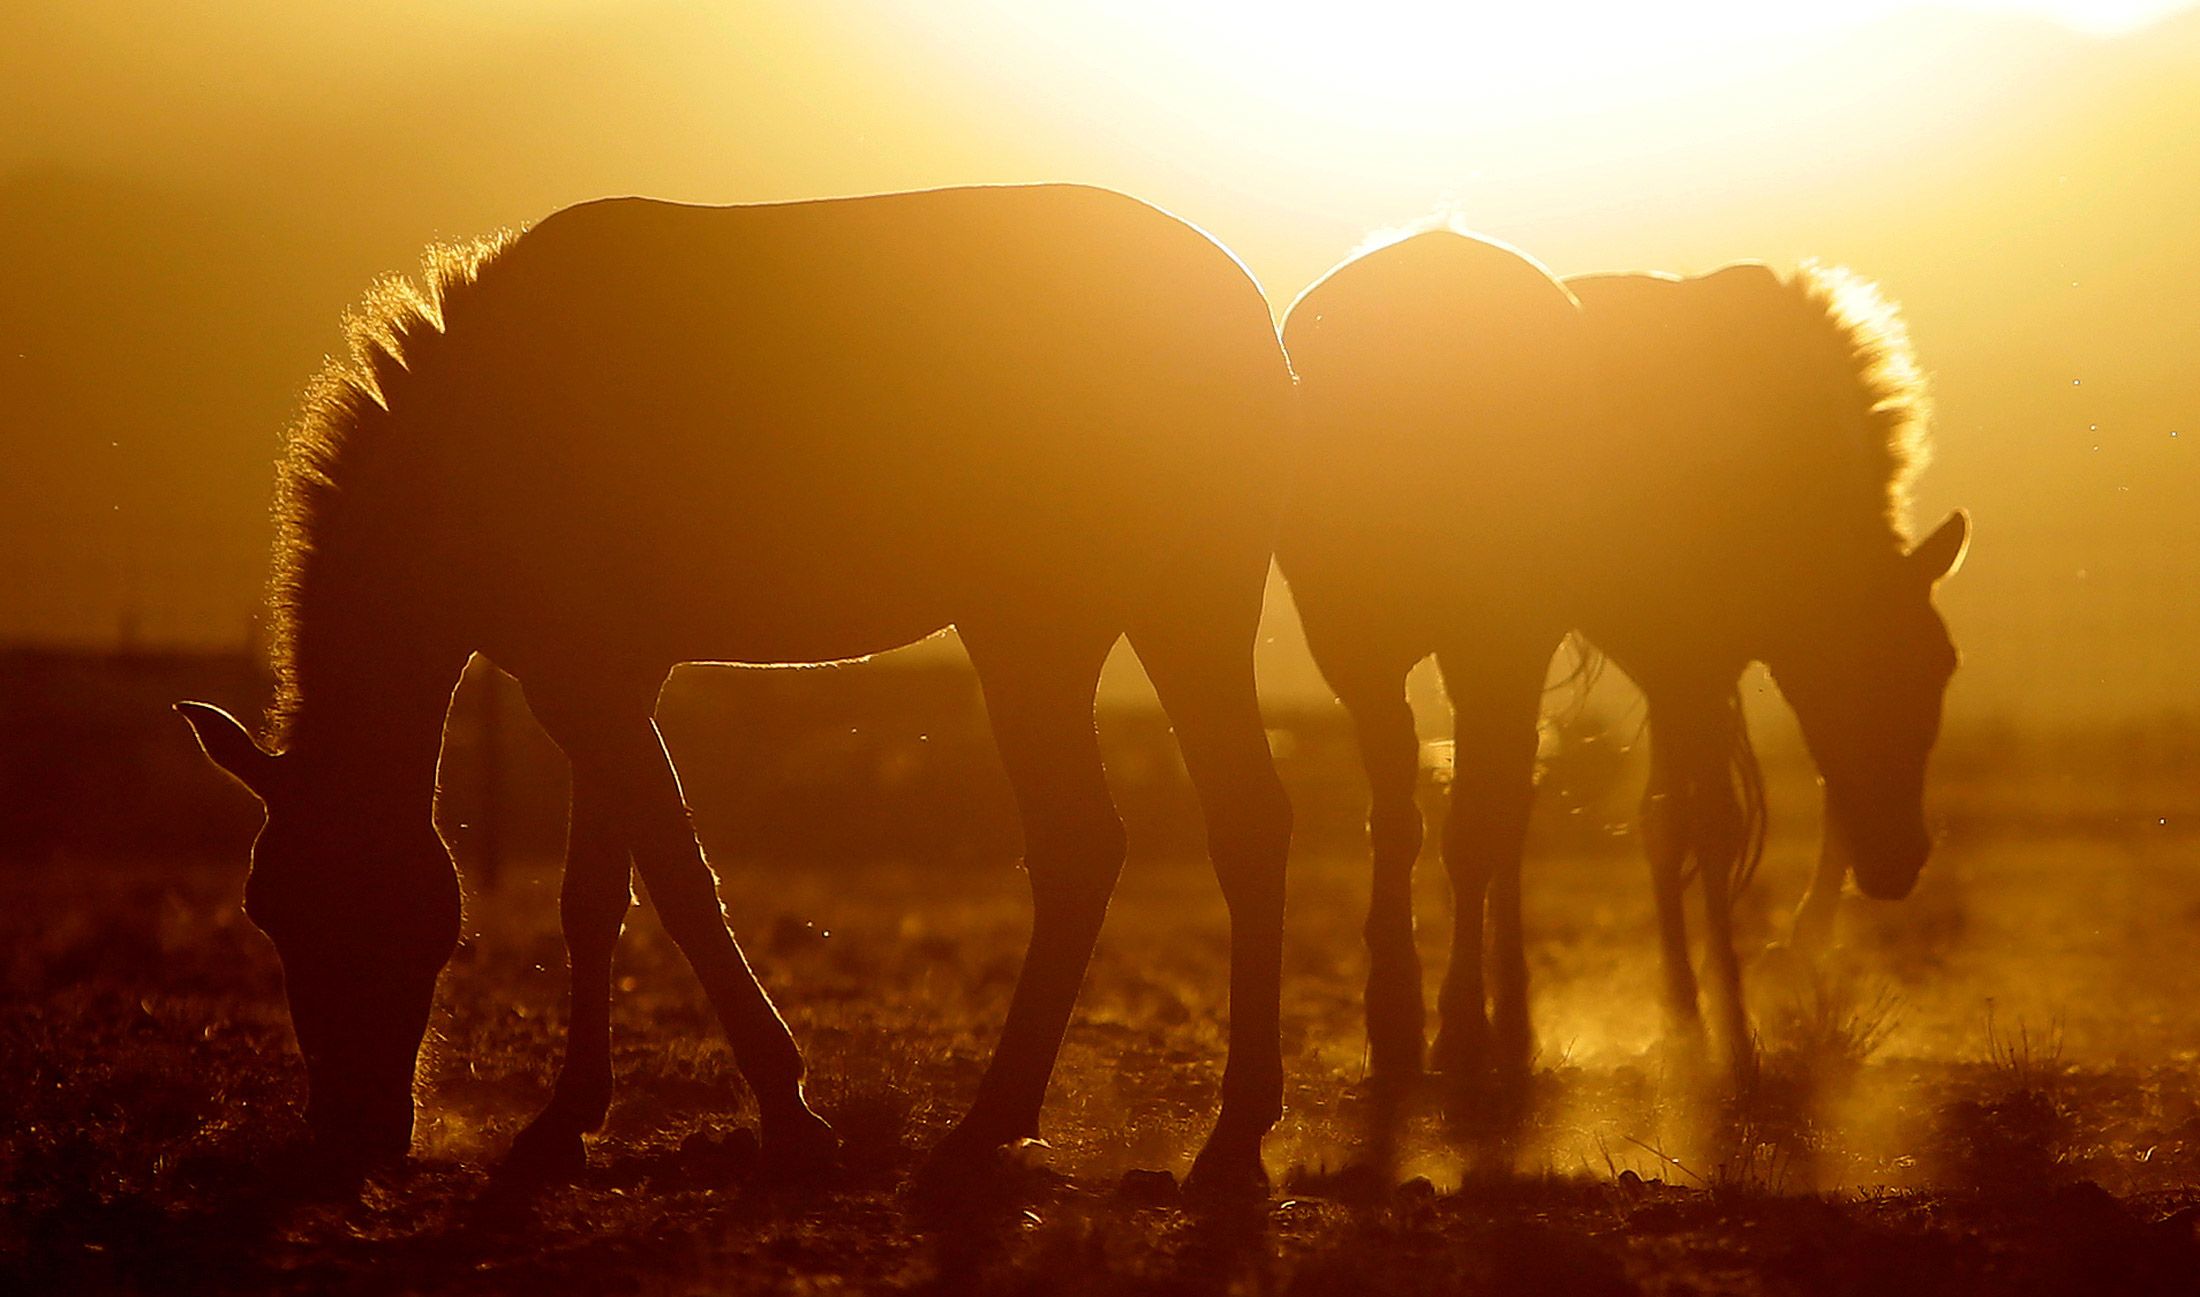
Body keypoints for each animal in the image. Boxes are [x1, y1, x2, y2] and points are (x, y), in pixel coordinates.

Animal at [184, 185, 1302, 1195]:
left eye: (345, 905)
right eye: (267, 912)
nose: (351, 1133)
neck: (481, 430)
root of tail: (1249, 319)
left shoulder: (587, 686)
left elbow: (681, 885)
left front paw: (790, 1114)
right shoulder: (599, 679)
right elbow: (595, 898)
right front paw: (564, 1120)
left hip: (1039, 631)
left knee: (1081, 848)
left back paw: (990, 1129)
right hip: (1181, 613)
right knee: (1239, 823)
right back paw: (1227, 1140)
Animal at [1284, 228, 1971, 1081]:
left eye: (1940, 665)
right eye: (1905, 663)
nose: (1901, 861)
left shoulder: (1672, 661)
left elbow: (1664, 823)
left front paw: (1687, 1017)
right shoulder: (1689, 657)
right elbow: (1705, 823)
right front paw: (1730, 1029)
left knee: (1460, 809)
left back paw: (1459, 1023)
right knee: (1481, 813)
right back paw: (1476, 1025)